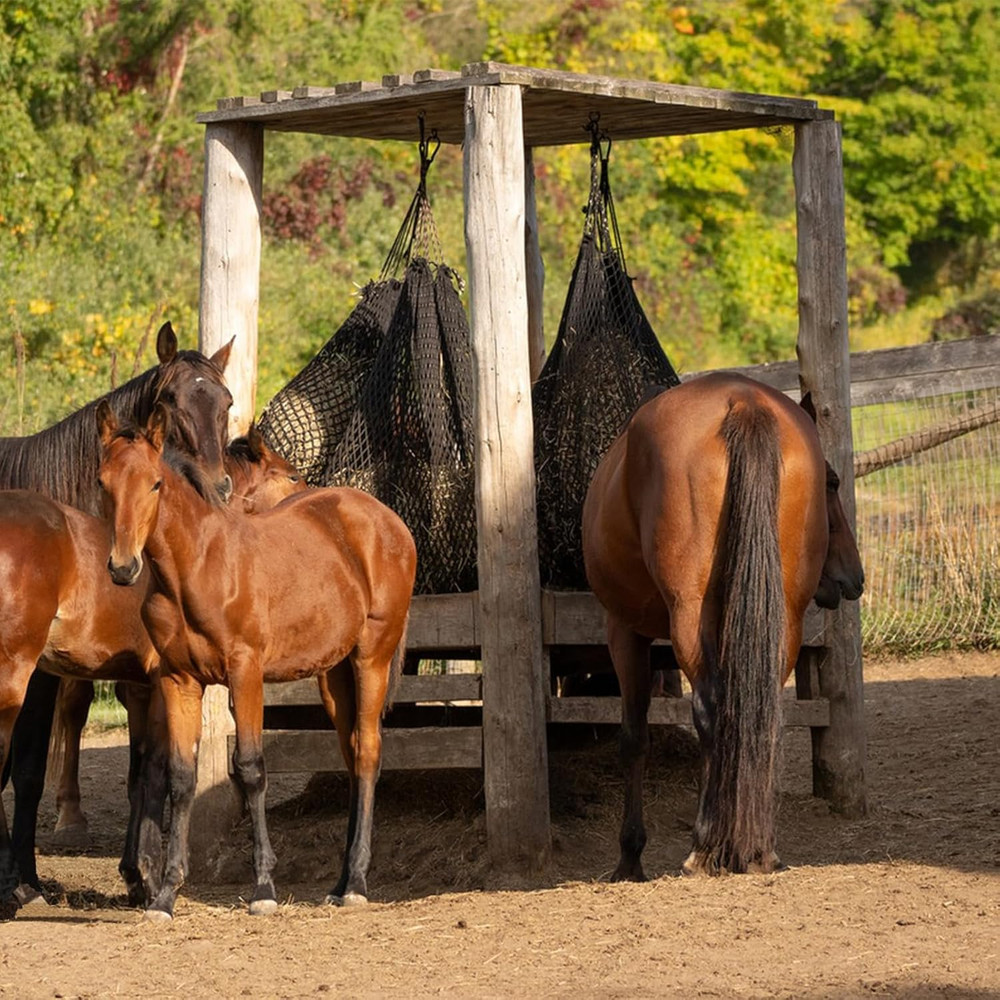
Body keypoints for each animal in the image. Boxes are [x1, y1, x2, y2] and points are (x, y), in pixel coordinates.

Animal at [0, 427, 305, 920]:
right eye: (292, 475)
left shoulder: (138, 689)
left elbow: (138, 774)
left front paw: (135, 874)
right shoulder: (165, 683)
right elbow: (159, 773)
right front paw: (149, 873)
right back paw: (19, 889)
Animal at [98, 401, 416, 921]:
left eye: (155, 483)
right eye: (103, 482)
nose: (123, 568)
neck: (197, 566)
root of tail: (387, 520)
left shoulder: (245, 674)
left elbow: (249, 767)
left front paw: (264, 887)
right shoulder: (178, 680)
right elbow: (181, 777)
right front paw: (165, 894)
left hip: (373, 656)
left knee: (369, 751)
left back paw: (357, 882)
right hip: (334, 675)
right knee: (351, 754)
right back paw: (340, 880)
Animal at [581, 371, 864, 879]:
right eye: (832, 481)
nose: (854, 576)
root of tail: (744, 401)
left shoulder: (625, 631)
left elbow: (634, 738)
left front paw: (630, 855)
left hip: (689, 617)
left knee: (712, 710)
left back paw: (707, 846)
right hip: (783, 618)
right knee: (759, 715)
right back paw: (757, 848)